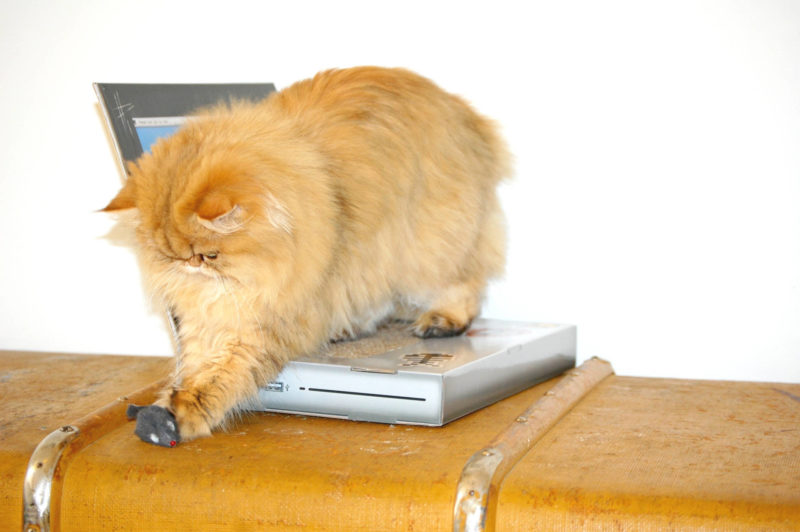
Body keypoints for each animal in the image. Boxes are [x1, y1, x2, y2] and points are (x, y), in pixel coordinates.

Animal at [104, 66, 506, 444]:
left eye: (208, 255)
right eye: (167, 255)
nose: (188, 266)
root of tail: (468, 117)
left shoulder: (267, 317)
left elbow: (222, 373)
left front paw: (183, 413)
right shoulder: (213, 315)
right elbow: (196, 364)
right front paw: (167, 405)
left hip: (427, 244)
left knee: (464, 283)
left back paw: (443, 321)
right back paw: (347, 328)